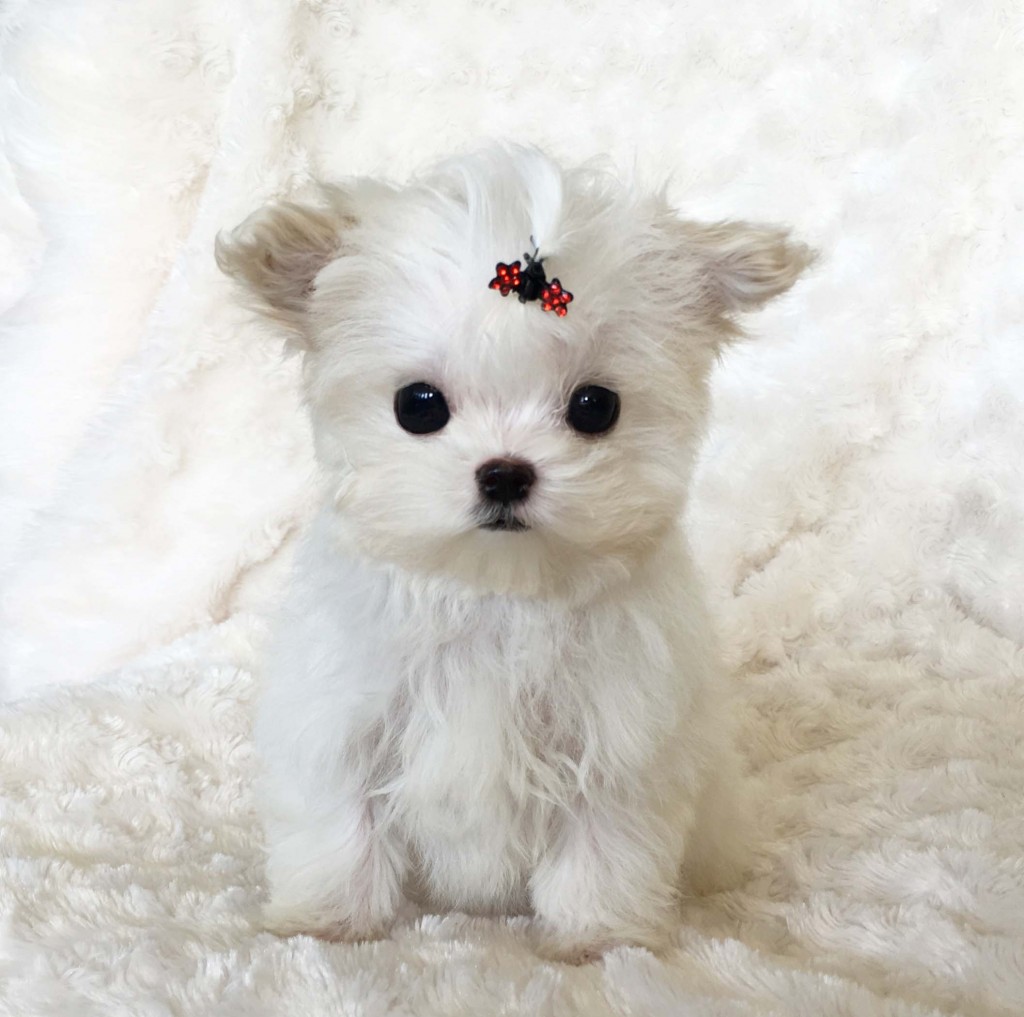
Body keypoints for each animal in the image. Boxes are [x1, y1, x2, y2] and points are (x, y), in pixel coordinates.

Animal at [216, 144, 806, 958]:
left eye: (595, 406)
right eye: (418, 405)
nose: (504, 472)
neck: (496, 591)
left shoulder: (619, 747)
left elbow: (603, 849)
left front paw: (596, 939)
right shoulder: (342, 723)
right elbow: (338, 829)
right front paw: (328, 922)